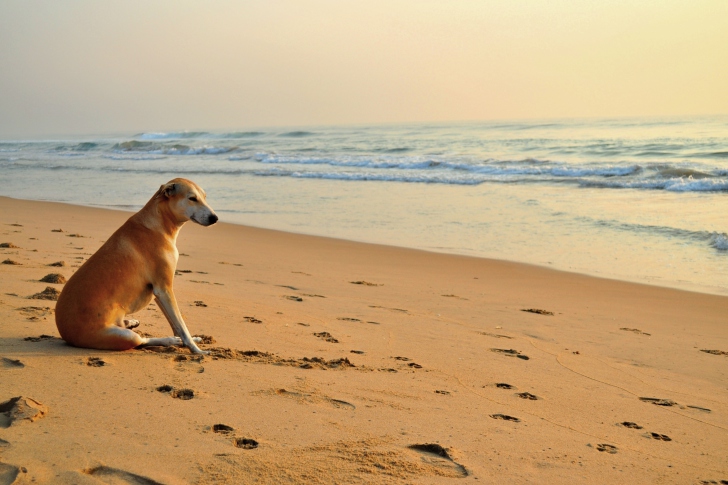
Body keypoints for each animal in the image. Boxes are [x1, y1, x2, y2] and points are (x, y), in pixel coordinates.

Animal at [55, 177, 218, 352]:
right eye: (192, 198)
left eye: (204, 197)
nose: (215, 218)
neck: (158, 223)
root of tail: (66, 334)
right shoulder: (164, 289)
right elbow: (181, 326)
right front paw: (196, 349)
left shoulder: (159, 293)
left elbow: (176, 325)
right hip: (123, 336)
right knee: (142, 341)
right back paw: (170, 340)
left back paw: (132, 322)